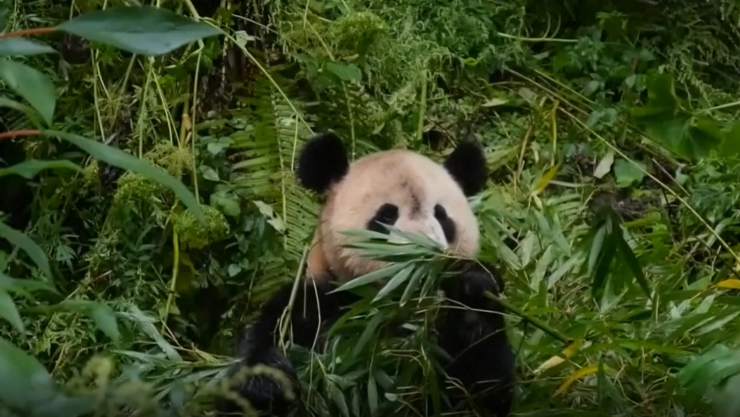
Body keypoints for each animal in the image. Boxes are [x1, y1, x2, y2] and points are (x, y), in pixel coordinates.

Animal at [216, 131, 516, 417]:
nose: (423, 255)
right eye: (386, 216)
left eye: (442, 216)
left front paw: (474, 293)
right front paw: (267, 382)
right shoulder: (314, 304)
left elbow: (482, 390)